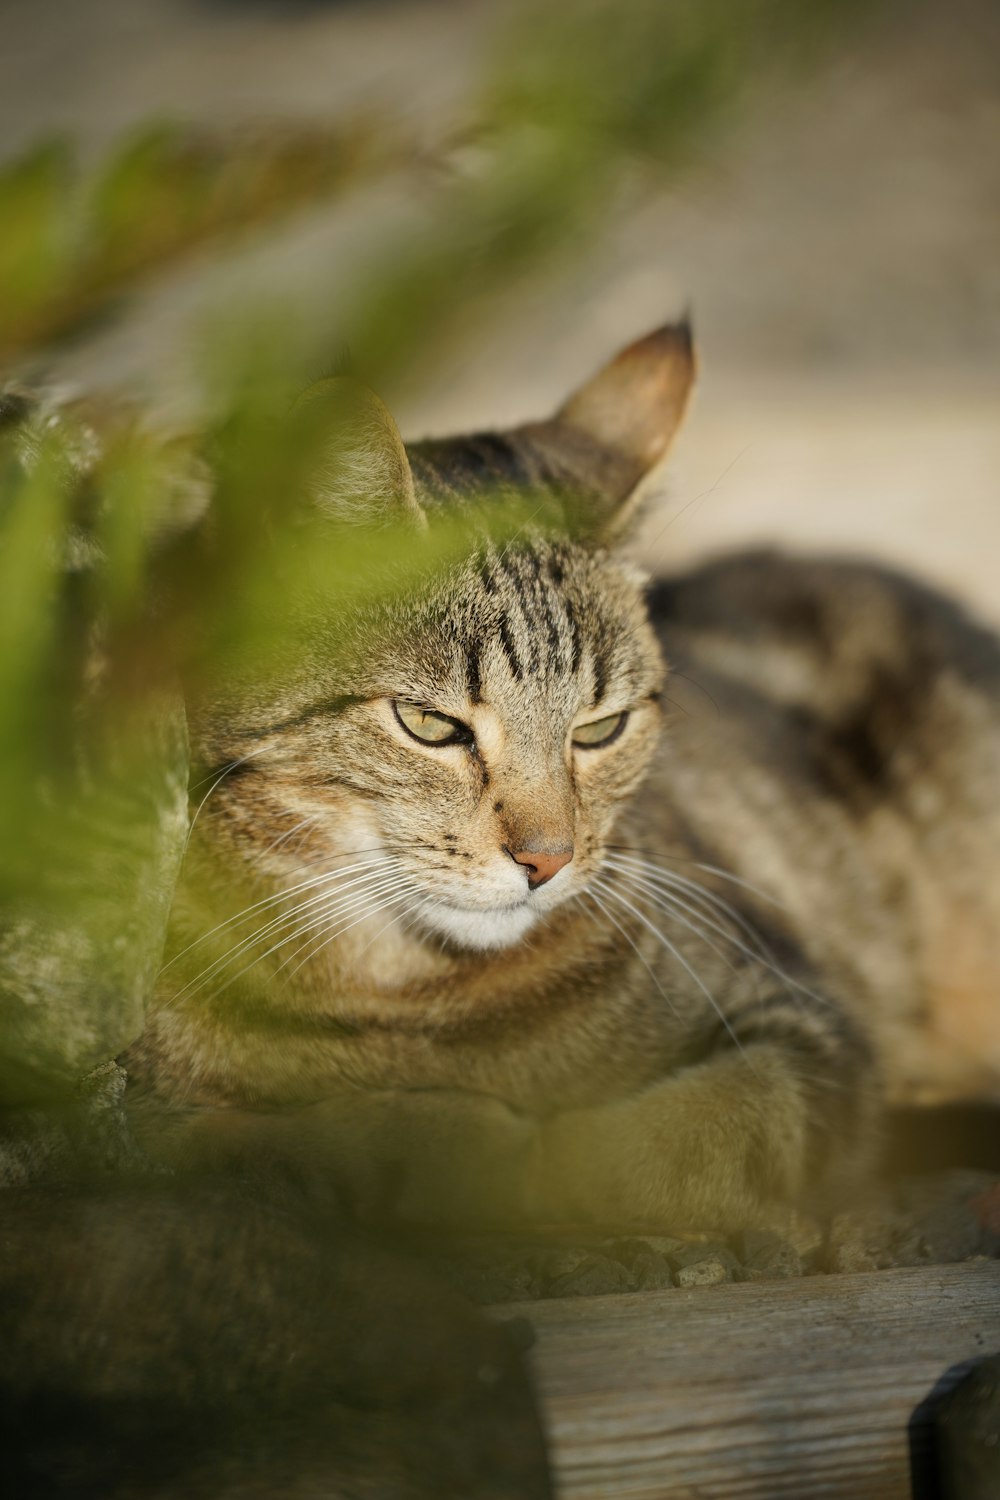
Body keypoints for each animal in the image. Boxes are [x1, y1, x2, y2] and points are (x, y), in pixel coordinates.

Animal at [125, 322, 1000, 1236]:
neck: (411, 998)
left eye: (599, 728)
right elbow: (287, 1136)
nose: (548, 860)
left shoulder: (806, 1025)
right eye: (430, 724)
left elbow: (669, 1139)